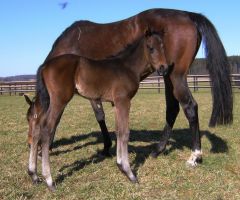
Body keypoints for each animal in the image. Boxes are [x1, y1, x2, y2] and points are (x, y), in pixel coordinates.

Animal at [24, 30, 167, 191]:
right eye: (150, 48)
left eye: (163, 46)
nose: (164, 68)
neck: (127, 67)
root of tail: (44, 66)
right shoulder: (123, 101)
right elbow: (125, 133)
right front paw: (130, 173)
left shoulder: (117, 104)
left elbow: (119, 131)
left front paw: (120, 166)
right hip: (59, 100)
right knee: (47, 129)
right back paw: (49, 180)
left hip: (47, 101)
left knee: (37, 127)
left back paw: (34, 174)